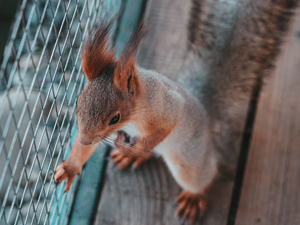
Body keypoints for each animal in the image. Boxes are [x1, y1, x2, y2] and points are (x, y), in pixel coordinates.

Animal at [53, 0, 298, 223]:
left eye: (115, 118)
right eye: (78, 102)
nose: (84, 139)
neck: (135, 112)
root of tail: (204, 114)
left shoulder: (165, 111)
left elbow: (161, 131)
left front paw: (132, 149)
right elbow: (86, 150)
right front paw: (70, 168)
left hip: (190, 160)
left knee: (202, 175)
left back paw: (191, 195)